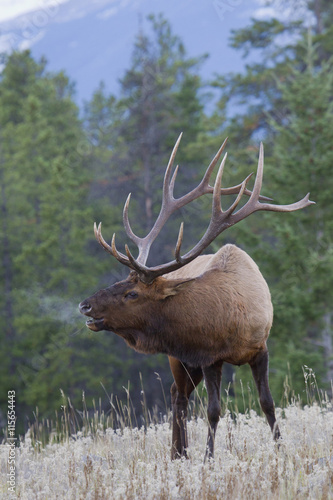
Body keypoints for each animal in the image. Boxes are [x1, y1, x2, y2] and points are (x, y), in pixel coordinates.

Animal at [79, 136, 312, 460]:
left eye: (131, 293)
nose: (85, 305)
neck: (232, 321)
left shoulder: (259, 349)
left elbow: (267, 403)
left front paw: (280, 449)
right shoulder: (209, 357)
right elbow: (213, 410)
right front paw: (208, 458)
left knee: (180, 396)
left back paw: (181, 452)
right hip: (180, 359)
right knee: (178, 396)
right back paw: (179, 453)